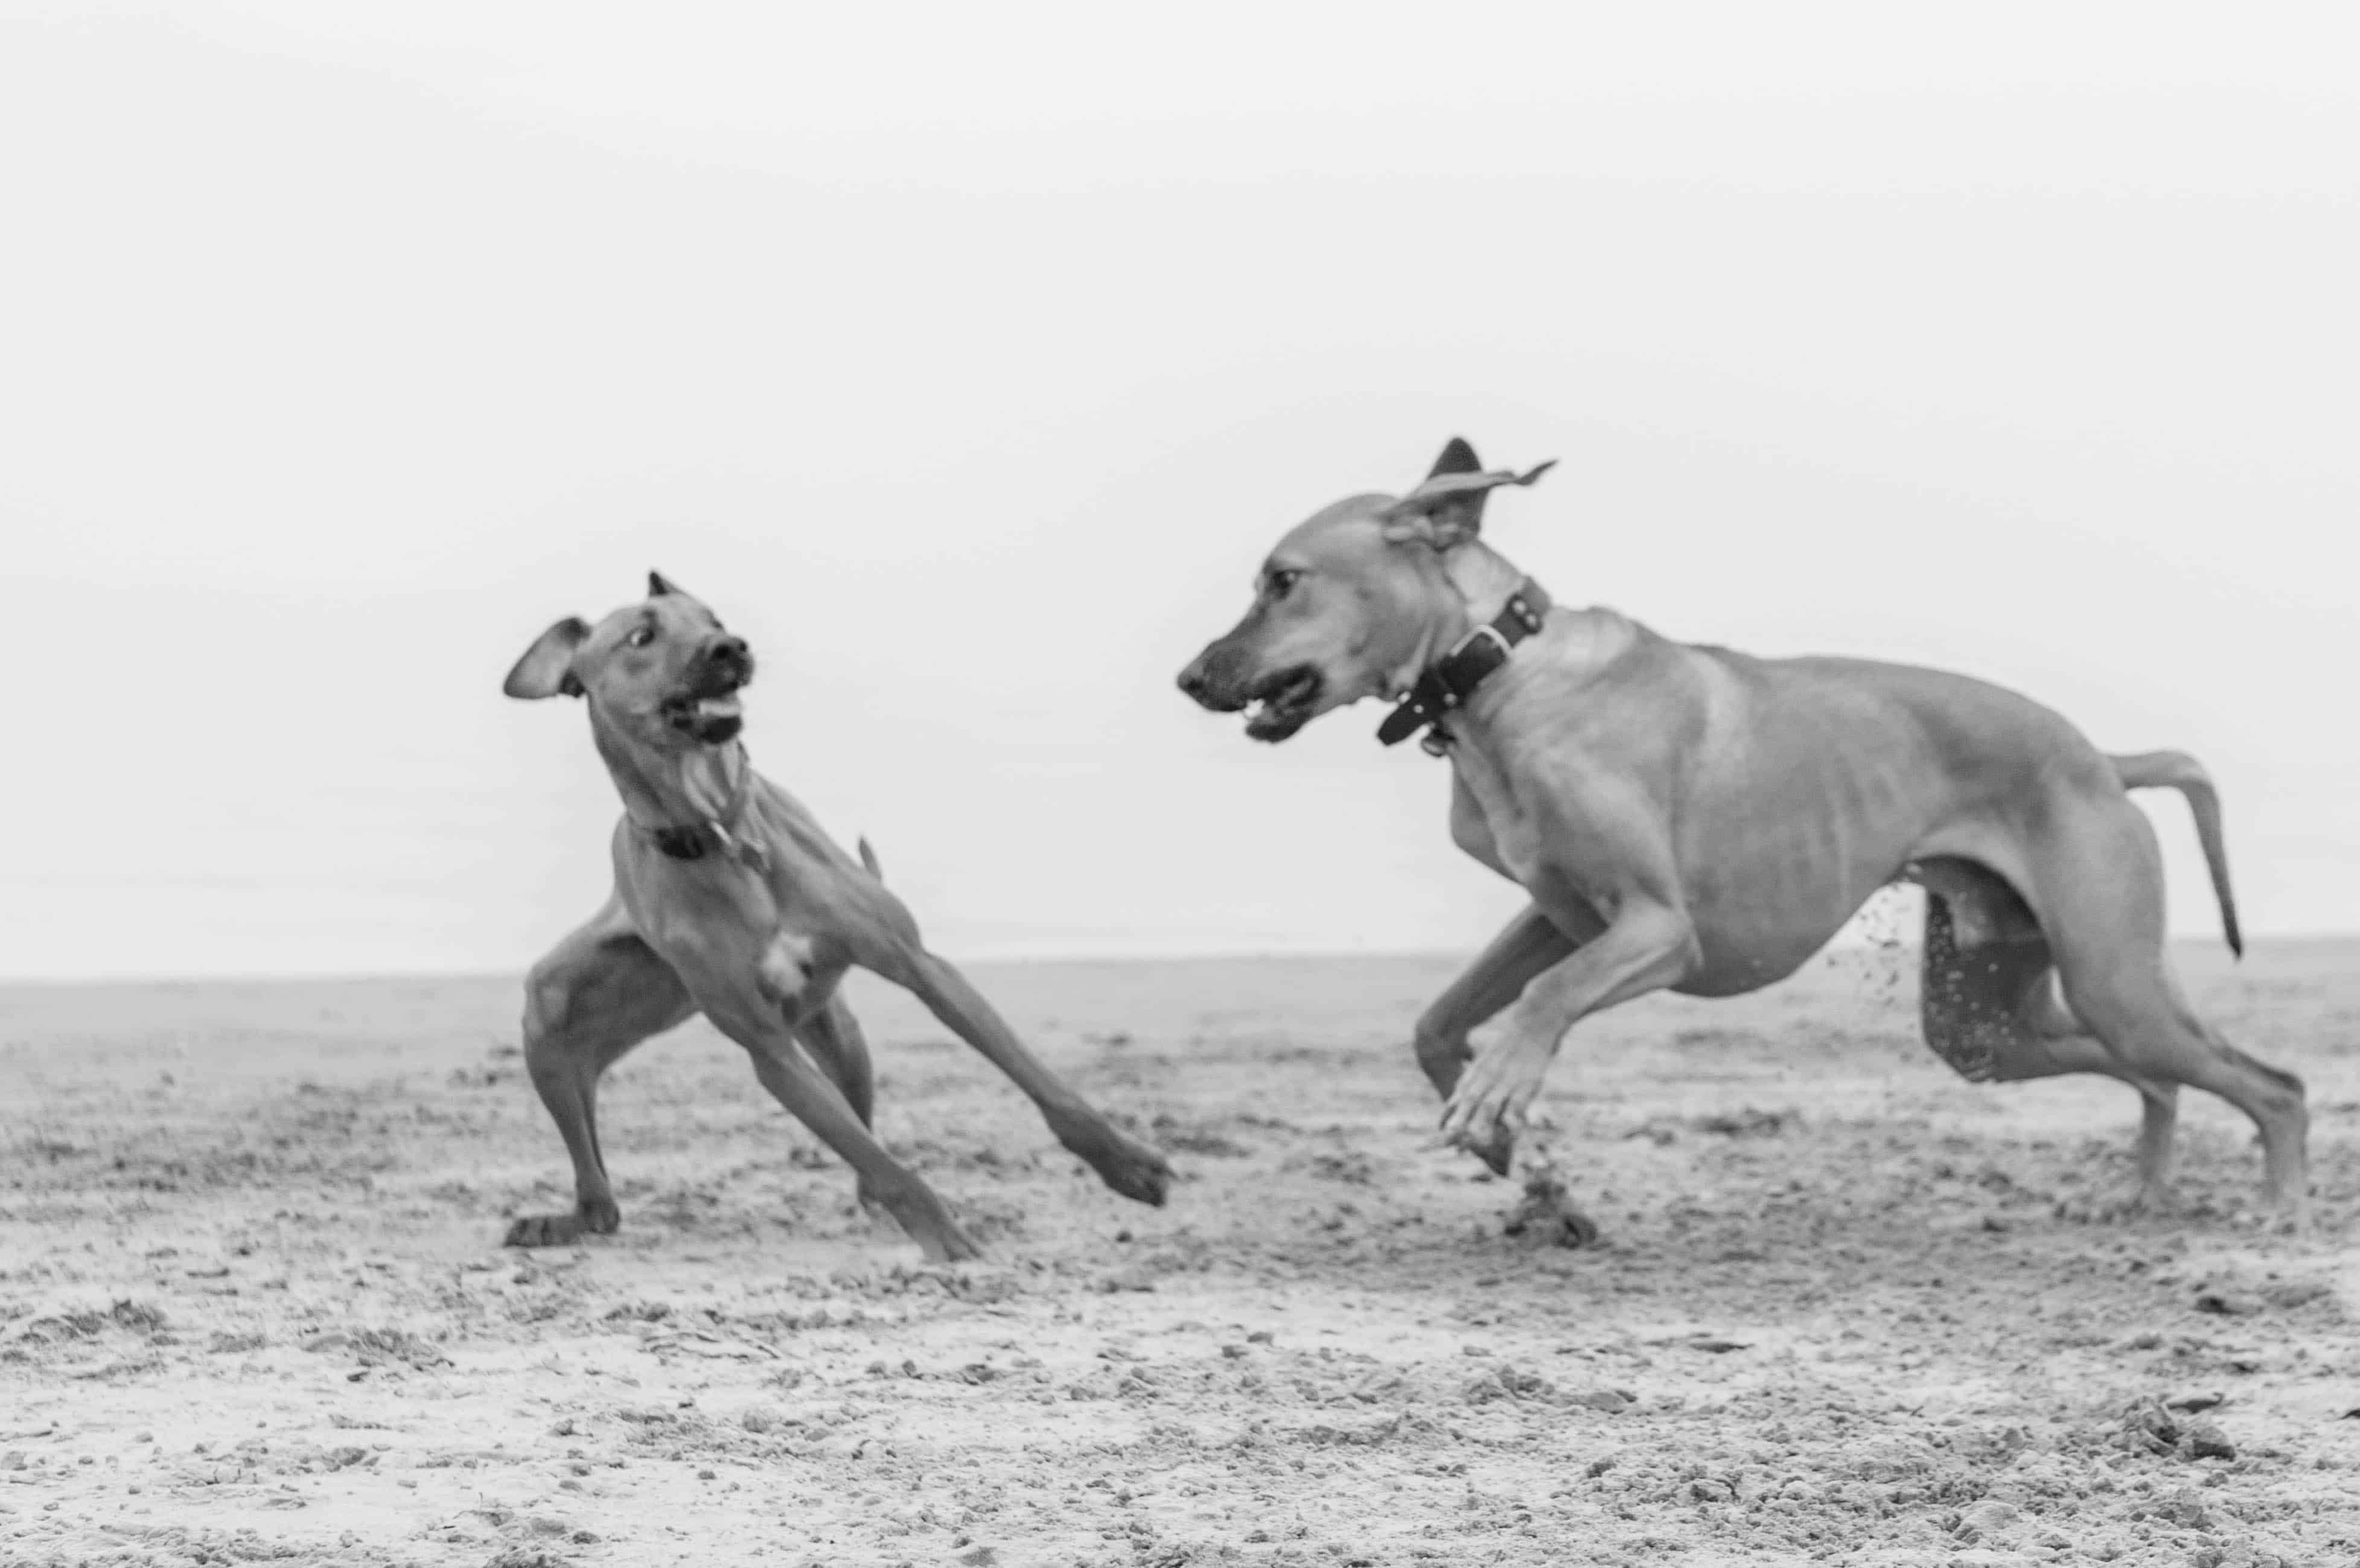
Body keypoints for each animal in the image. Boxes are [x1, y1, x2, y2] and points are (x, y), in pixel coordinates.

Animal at [505, 576, 1170, 1266]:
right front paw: (945, 1238)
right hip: (551, 1013)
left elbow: (1036, 1078)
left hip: (839, 1034)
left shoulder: (923, 967)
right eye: (642, 636)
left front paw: (1125, 1163)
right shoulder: (770, 1052)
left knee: (860, 1132)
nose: (730, 646)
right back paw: (565, 1220)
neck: (720, 833)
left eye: (711, 617)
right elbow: (881, 1162)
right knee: (601, 1197)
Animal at [1180, 434, 2303, 1228]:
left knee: (2272, 1082)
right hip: (1987, 1022)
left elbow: (1542, 1000)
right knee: (2153, 1077)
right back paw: (2143, 1193)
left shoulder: (1655, 928)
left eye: (1282, 580)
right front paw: (1498, 1130)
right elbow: (1438, 1019)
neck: (1499, 668)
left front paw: (1499, 1090)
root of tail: (2101, 759)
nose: (1190, 677)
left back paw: (2277, 1211)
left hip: (2112, 977)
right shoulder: (1561, 914)